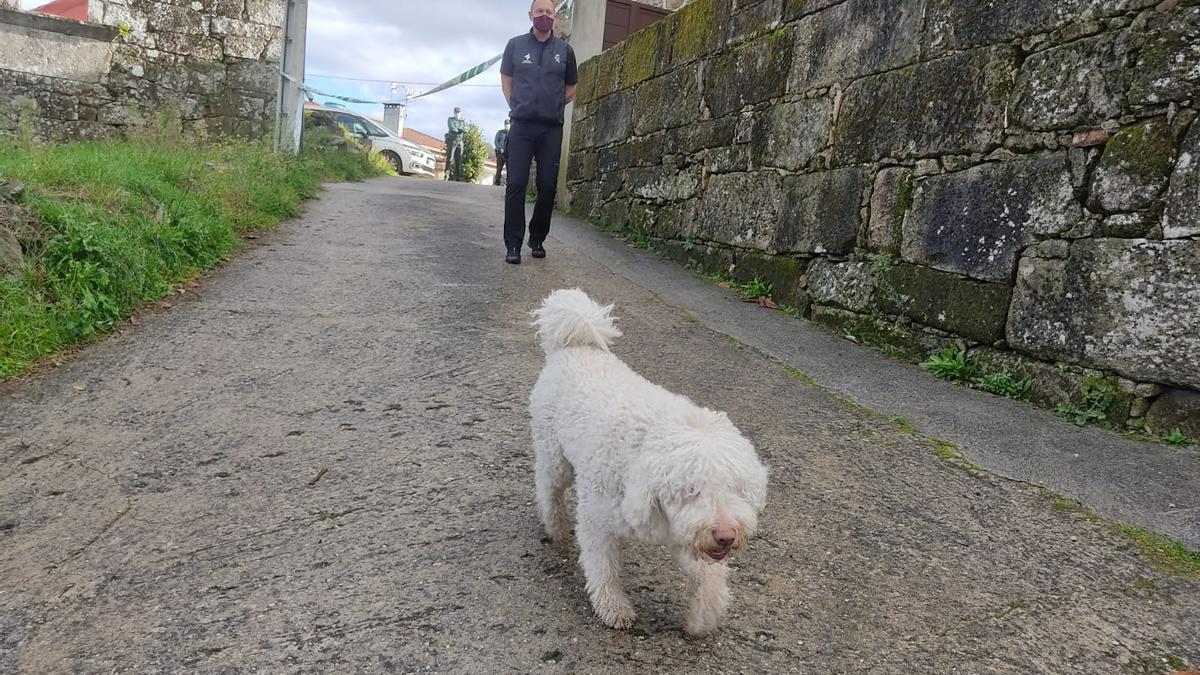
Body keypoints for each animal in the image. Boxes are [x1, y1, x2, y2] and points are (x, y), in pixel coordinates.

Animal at [532, 285, 772, 634]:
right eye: (690, 490)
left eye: (736, 488)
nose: (726, 535)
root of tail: (574, 344)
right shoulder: (597, 520)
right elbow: (602, 568)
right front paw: (614, 608)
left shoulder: (686, 532)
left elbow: (708, 577)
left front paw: (702, 618)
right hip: (553, 455)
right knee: (548, 488)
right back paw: (556, 527)